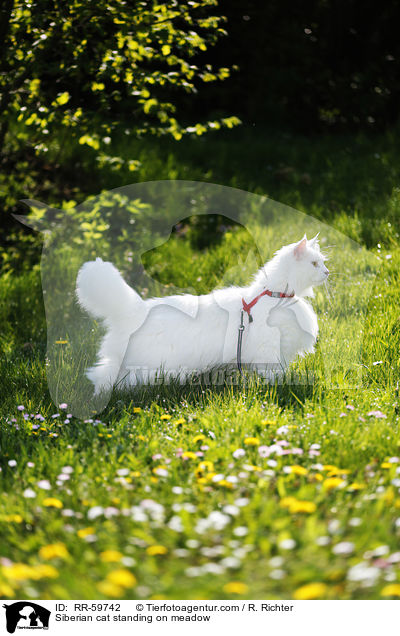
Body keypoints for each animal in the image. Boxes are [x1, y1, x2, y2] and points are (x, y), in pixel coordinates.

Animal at [75, 235, 328, 392]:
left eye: (322, 263)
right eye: (315, 263)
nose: (327, 272)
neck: (274, 296)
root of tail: (135, 310)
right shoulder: (270, 352)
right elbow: (276, 375)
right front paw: (281, 386)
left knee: (101, 374)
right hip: (141, 366)